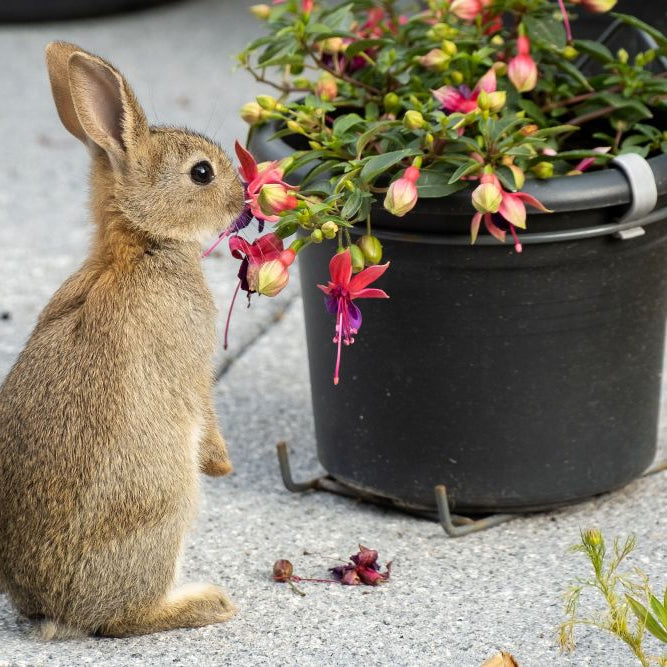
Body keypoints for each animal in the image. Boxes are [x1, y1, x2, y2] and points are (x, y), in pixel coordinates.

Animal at [0, 42, 245, 639]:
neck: (140, 242)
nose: (244, 199)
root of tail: (58, 611)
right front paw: (222, 465)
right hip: (166, 510)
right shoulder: (193, 364)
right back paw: (208, 602)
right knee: (122, 619)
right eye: (201, 172)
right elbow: (203, 408)